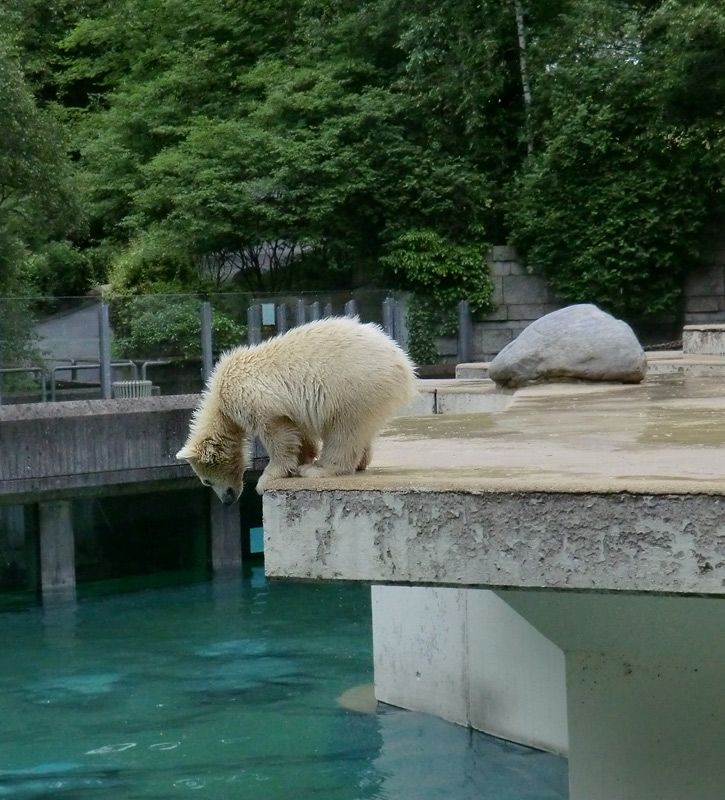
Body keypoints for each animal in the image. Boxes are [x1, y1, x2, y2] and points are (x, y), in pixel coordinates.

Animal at [174, 318, 418, 500]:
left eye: (206, 481)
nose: (227, 499)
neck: (220, 397)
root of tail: (402, 362)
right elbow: (298, 431)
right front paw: (303, 457)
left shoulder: (253, 399)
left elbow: (277, 434)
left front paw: (269, 477)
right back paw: (360, 462)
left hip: (353, 386)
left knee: (343, 430)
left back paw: (320, 469)